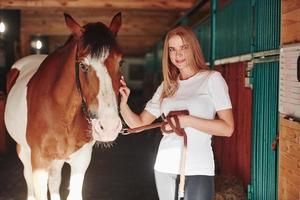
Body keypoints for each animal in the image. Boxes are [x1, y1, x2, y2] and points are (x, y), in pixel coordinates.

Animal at [3, 12, 123, 200]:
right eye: (83, 65)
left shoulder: (81, 160)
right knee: (28, 178)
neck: (62, 112)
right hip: (23, 151)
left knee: (54, 181)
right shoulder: (39, 161)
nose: (109, 127)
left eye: (120, 62)